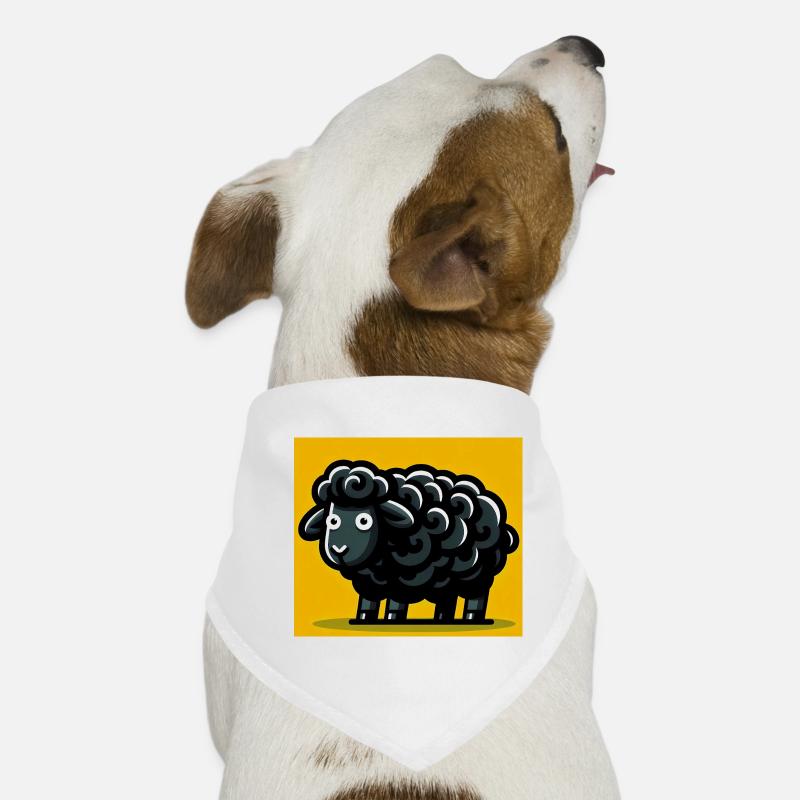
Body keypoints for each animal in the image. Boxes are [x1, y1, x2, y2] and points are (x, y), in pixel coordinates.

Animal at [298, 459, 519, 624]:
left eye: (364, 520)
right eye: (332, 521)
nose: (339, 549)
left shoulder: (404, 578)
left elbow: (396, 602)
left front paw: (392, 619)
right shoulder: (370, 580)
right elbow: (368, 601)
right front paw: (362, 619)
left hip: (477, 576)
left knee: (476, 596)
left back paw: (472, 618)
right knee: (447, 599)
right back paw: (441, 619)